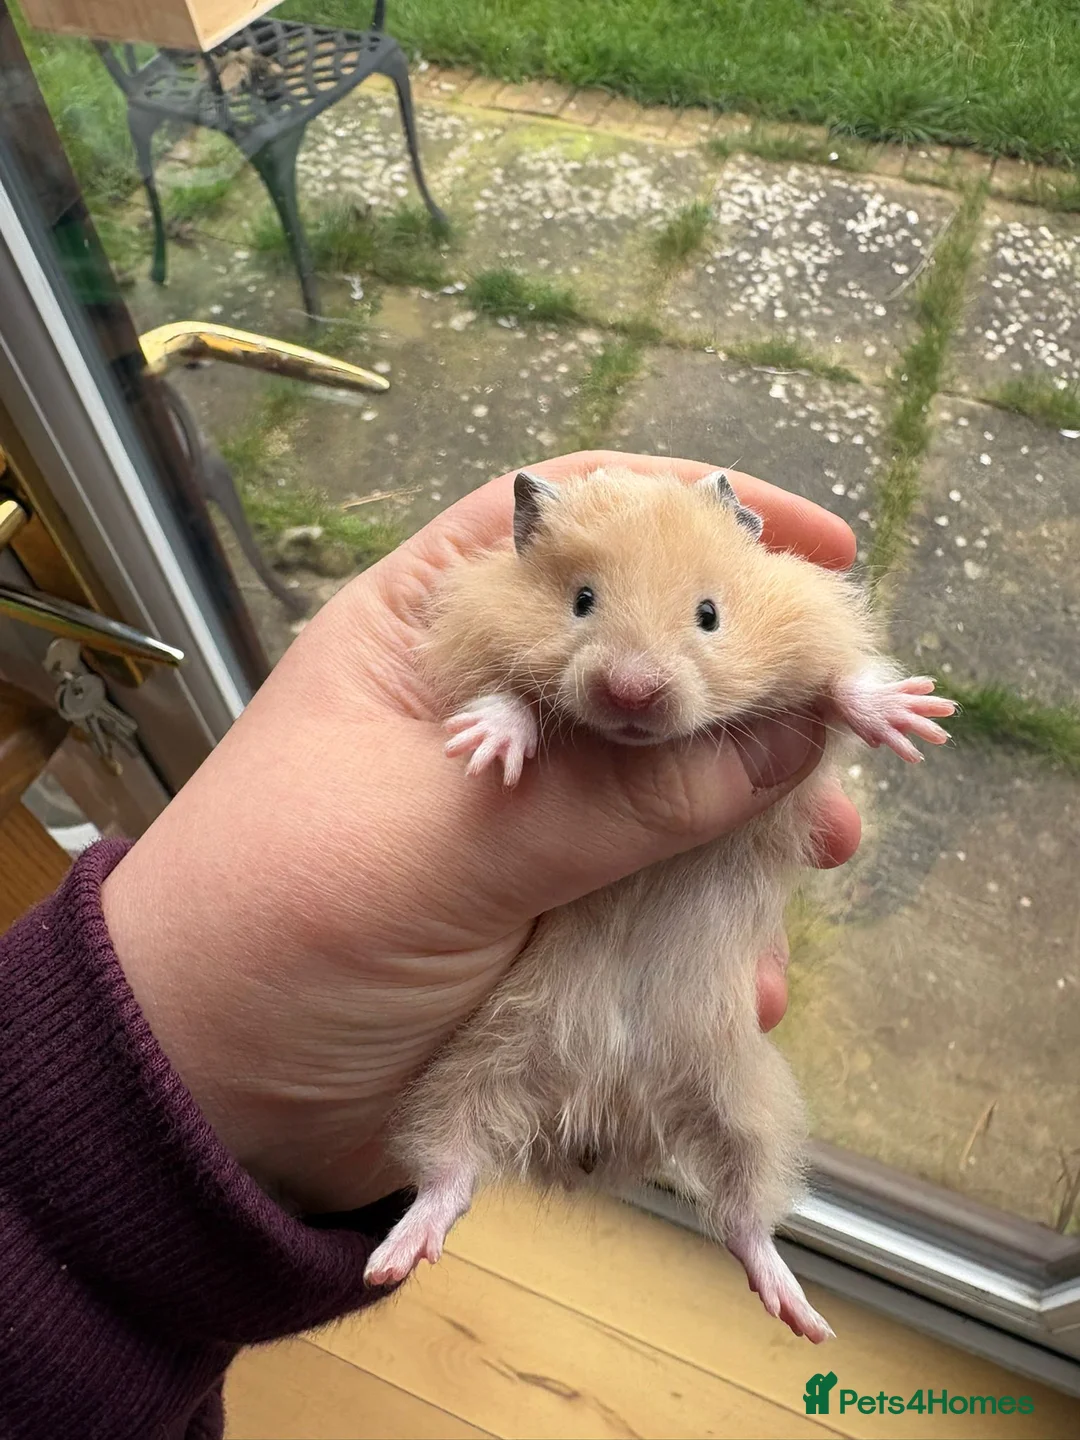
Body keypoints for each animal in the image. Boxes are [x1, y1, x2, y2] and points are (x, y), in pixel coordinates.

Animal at [364, 465, 955, 1342]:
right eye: (581, 601)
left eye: (709, 614)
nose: (632, 691)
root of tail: (600, 1121)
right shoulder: (469, 640)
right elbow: (504, 693)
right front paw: (486, 751)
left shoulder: (811, 632)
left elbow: (839, 685)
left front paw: (921, 717)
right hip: (471, 1070)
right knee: (450, 1171)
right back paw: (390, 1260)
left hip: (742, 1100)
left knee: (745, 1217)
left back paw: (803, 1320)